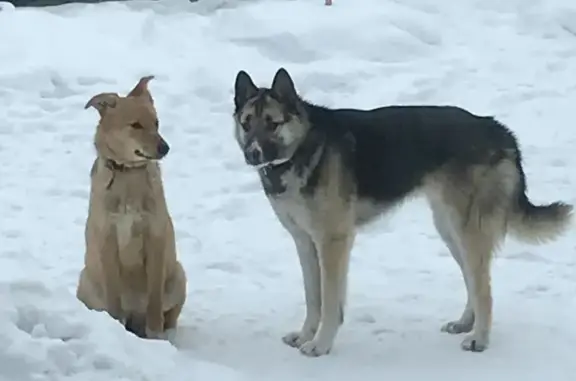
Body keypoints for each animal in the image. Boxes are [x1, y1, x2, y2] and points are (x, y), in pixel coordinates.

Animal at [76, 75, 187, 336]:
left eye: (156, 123)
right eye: (135, 125)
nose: (165, 148)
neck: (128, 174)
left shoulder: (155, 238)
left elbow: (155, 299)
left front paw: (156, 335)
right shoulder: (107, 238)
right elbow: (113, 296)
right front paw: (115, 326)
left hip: (178, 275)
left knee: (169, 314)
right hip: (86, 279)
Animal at [232, 67, 572, 356]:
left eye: (273, 123)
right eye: (246, 124)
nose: (252, 154)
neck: (302, 149)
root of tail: (498, 128)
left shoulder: (332, 242)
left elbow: (329, 301)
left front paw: (320, 344)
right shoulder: (305, 242)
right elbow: (313, 297)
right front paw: (305, 335)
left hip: (467, 231)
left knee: (484, 289)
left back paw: (480, 338)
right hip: (449, 230)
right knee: (473, 282)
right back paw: (466, 323)